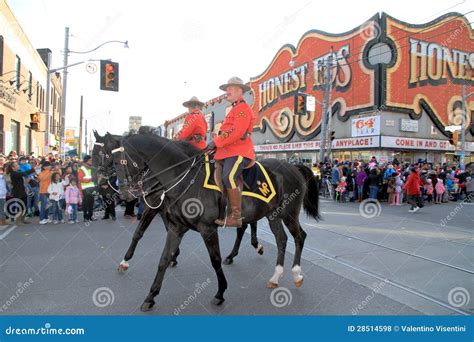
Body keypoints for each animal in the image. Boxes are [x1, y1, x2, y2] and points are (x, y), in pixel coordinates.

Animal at [90, 131, 262, 272]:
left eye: (104, 154)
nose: (98, 180)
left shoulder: (155, 205)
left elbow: (140, 231)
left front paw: (127, 260)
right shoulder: (164, 208)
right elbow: (156, 229)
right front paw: (172, 256)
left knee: (246, 225)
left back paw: (253, 247)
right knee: (244, 225)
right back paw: (237, 253)